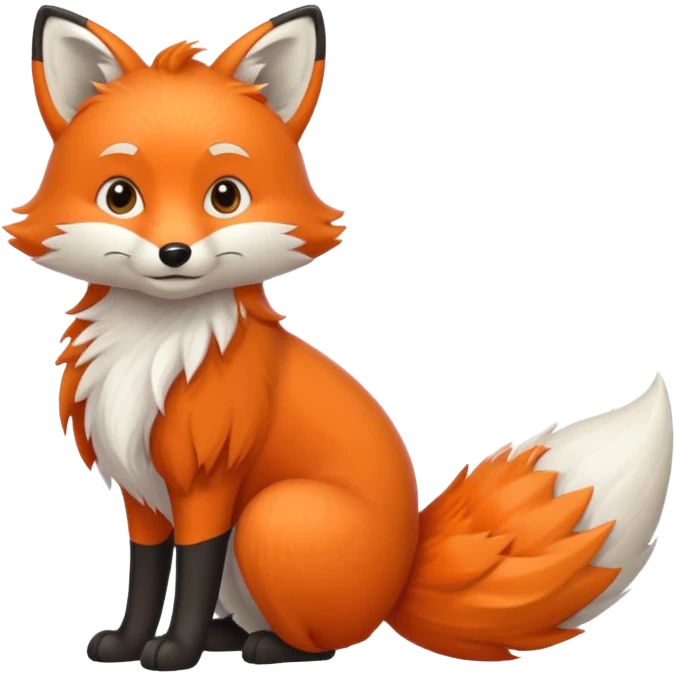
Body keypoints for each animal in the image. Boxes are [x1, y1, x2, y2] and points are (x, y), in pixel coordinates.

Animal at [7, 3, 673, 671]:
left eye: (225, 195)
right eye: (120, 195)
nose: (175, 253)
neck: (155, 346)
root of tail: (399, 580)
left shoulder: (206, 483)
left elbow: (191, 574)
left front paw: (173, 650)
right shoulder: (142, 495)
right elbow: (145, 577)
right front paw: (126, 642)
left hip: (272, 517)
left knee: (327, 642)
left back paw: (266, 647)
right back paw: (229, 639)